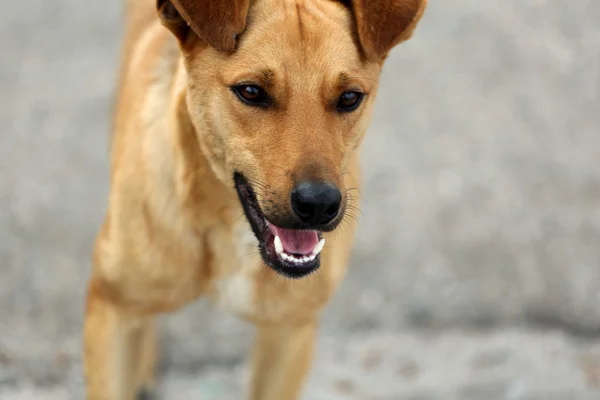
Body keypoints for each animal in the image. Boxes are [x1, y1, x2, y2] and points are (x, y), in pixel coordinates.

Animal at [83, 1, 426, 398]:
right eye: (250, 92)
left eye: (349, 98)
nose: (319, 204)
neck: (227, 227)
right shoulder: (111, 311)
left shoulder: (289, 331)